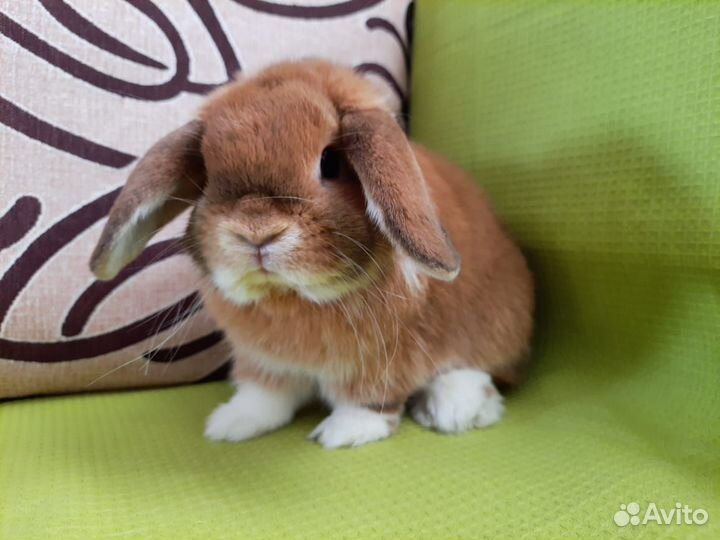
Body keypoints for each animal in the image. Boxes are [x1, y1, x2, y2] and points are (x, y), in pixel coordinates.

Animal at [90, 59, 534, 448]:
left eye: (331, 162)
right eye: (208, 174)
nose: (256, 233)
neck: (293, 298)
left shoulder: (383, 361)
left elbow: (367, 403)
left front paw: (343, 434)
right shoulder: (262, 362)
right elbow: (263, 396)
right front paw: (231, 423)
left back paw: (455, 409)